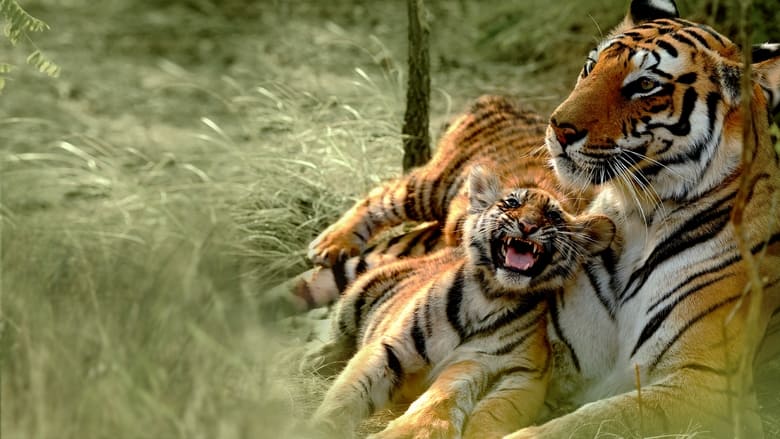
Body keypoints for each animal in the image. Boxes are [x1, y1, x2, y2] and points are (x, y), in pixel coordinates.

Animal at [302, 166, 615, 439]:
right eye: (511, 203)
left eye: (553, 216)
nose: (528, 226)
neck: (489, 295)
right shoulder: (391, 347)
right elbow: (346, 394)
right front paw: (317, 427)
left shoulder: (486, 361)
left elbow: (460, 398)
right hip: (357, 295)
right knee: (338, 335)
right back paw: (311, 359)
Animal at [503, 0, 780, 437]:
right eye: (590, 67)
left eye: (645, 85)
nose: (558, 127)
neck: (637, 216)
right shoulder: (550, 356)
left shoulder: (708, 387)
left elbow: (588, 422)